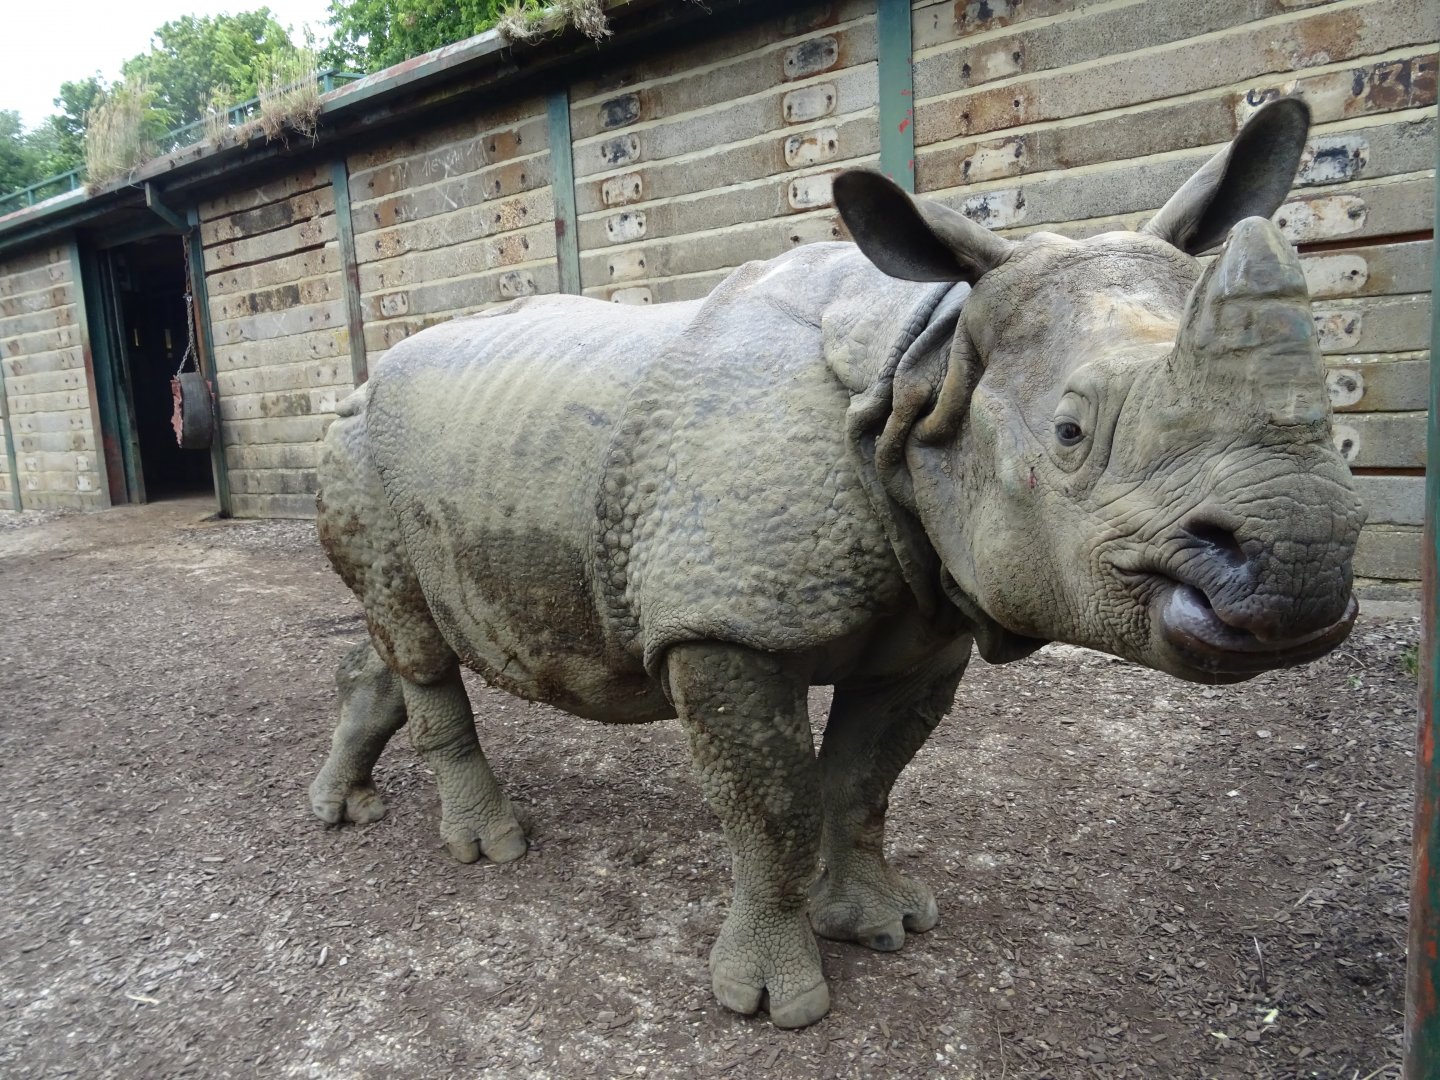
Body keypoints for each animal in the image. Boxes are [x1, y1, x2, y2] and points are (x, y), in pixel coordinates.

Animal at [310, 98, 1362, 1028]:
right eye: (1070, 434)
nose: (1303, 561)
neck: (927, 374)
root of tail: (362, 378)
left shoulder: (928, 616)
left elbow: (863, 781)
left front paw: (882, 928)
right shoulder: (724, 627)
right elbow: (773, 805)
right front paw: (775, 1003)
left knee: (399, 632)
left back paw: (343, 809)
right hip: (363, 445)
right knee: (416, 636)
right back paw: (490, 848)